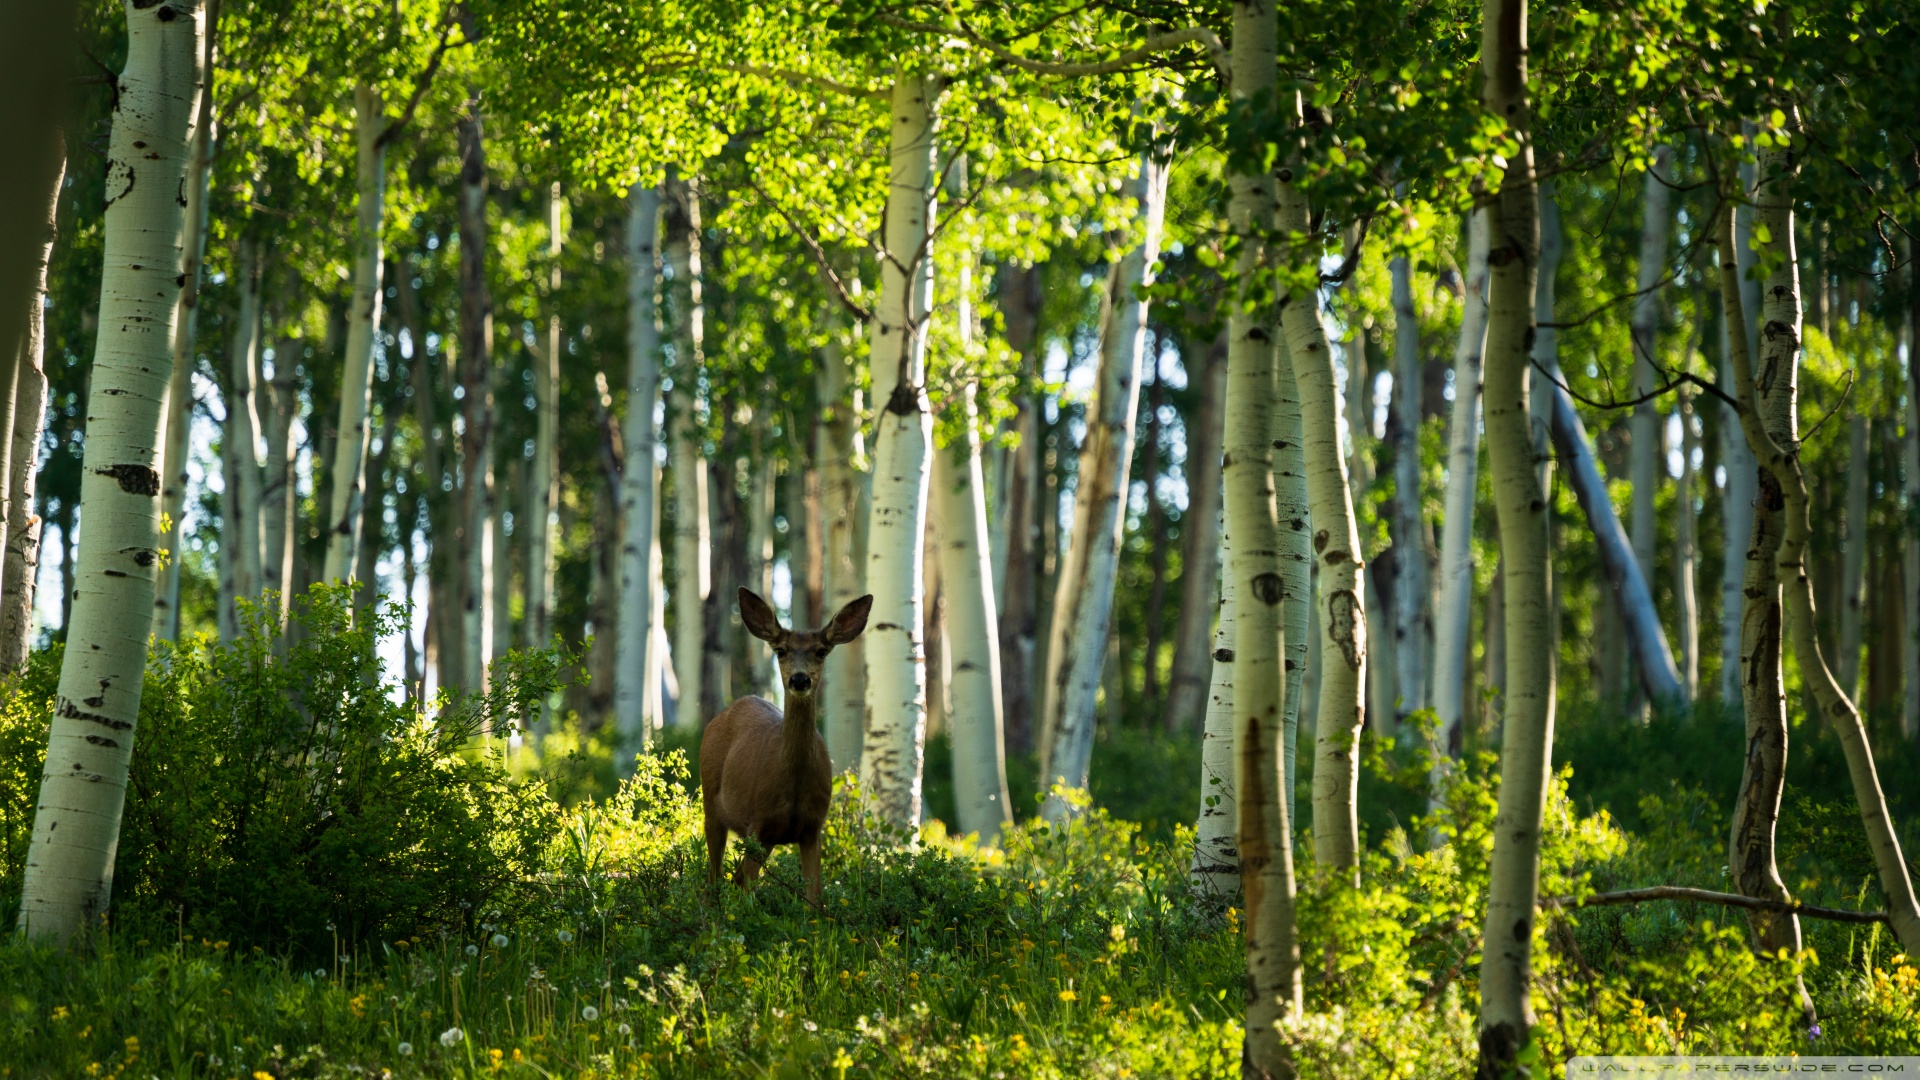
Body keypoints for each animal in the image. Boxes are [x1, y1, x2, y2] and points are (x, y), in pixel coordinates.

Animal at [698, 584, 871, 903]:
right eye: (780, 650)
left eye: (821, 651)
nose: (799, 679)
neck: (793, 783)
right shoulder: (757, 824)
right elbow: (747, 897)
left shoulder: (812, 827)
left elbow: (815, 899)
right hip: (712, 804)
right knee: (715, 878)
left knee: (732, 878)